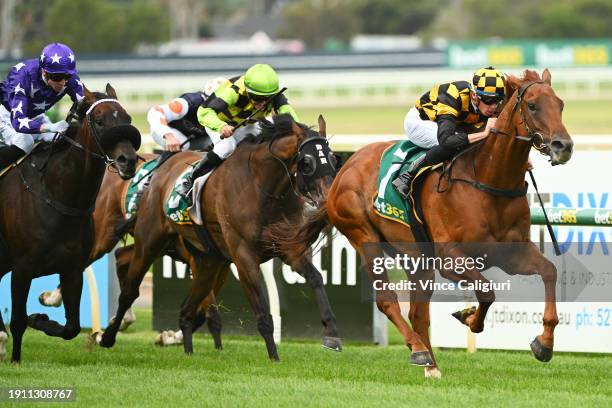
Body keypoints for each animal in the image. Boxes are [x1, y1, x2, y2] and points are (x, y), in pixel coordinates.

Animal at [0, 84, 140, 362]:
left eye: (128, 119)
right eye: (100, 121)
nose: (128, 161)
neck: (55, 193)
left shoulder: (72, 268)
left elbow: (71, 327)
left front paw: (40, 319)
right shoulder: (22, 268)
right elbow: (18, 320)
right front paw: (16, 359)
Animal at [98, 113, 342, 358]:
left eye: (333, 158)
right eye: (307, 162)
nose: (328, 198)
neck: (261, 186)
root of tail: (160, 171)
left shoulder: (287, 248)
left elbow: (315, 278)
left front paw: (331, 334)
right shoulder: (243, 257)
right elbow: (261, 313)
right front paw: (274, 358)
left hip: (208, 261)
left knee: (186, 310)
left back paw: (187, 351)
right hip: (148, 242)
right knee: (128, 291)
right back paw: (106, 336)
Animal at [274, 69, 572, 376]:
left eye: (560, 104)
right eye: (533, 105)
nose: (564, 146)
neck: (488, 179)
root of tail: (343, 168)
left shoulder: (512, 253)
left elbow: (548, 272)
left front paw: (544, 343)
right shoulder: (451, 259)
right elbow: (487, 292)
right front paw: (469, 317)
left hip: (416, 258)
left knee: (417, 313)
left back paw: (431, 364)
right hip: (365, 238)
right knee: (388, 301)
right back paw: (418, 351)